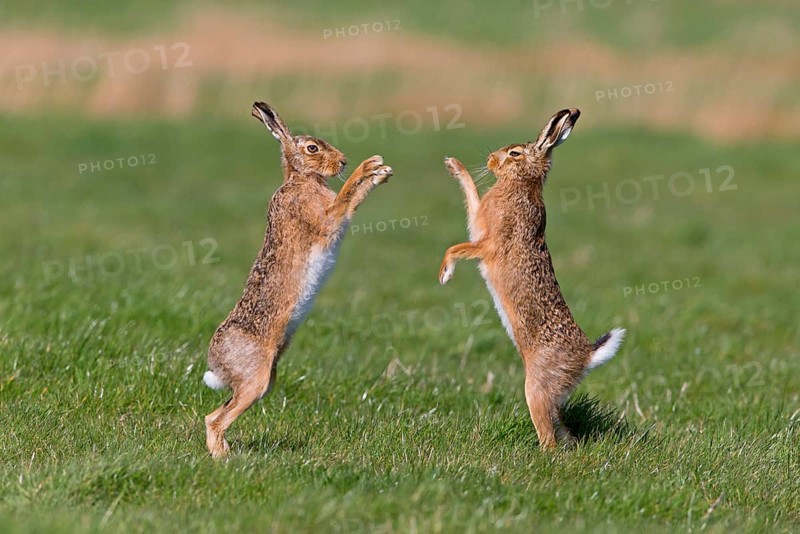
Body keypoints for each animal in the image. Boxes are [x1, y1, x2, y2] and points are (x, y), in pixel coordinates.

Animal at [203, 101, 393, 458]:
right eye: (312, 148)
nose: (343, 161)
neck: (300, 179)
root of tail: (215, 363)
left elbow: (352, 200)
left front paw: (379, 171)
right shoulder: (326, 220)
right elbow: (346, 197)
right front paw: (371, 167)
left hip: (265, 381)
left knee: (214, 414)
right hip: (256, 380)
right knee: (216, 420)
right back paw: (225, 459)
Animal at [438, 108, 625, 449]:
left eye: (514, 153)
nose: (491, 160)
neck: (522, 184)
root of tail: (586, 358)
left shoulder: (486, 244)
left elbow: (457, 246)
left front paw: (444, 274)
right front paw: (453, 164)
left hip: (535, 390)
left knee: (549, 436)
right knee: (564, 431)